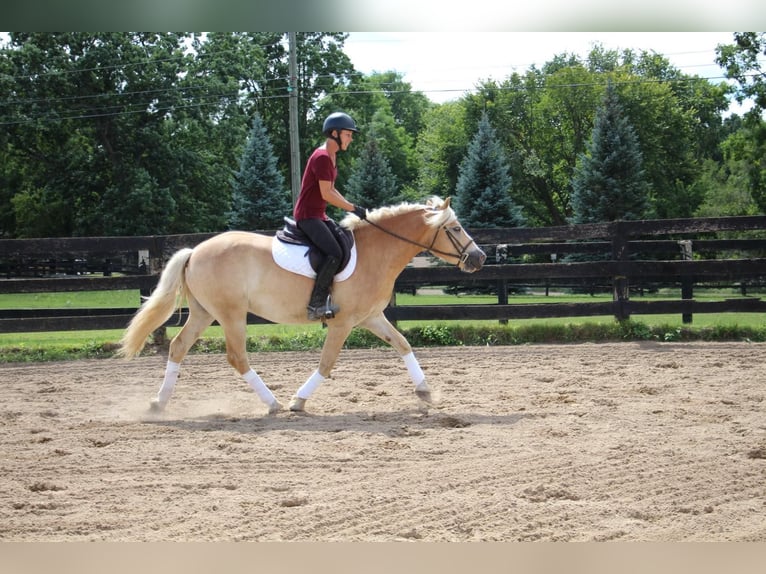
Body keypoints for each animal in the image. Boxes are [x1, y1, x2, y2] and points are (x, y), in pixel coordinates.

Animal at [117, 197, 488, 414]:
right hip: (231, 315)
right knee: (237, 357)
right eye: (455, 228)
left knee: (178, 347)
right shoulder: (343, 323)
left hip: (204, 313)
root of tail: (195, 251)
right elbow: (326, 363)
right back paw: (274, 403)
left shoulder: (372, 318)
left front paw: (425, 392)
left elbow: (403, 344)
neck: (376, 252)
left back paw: (159, 402)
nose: (480, 258)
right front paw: (299, 400)